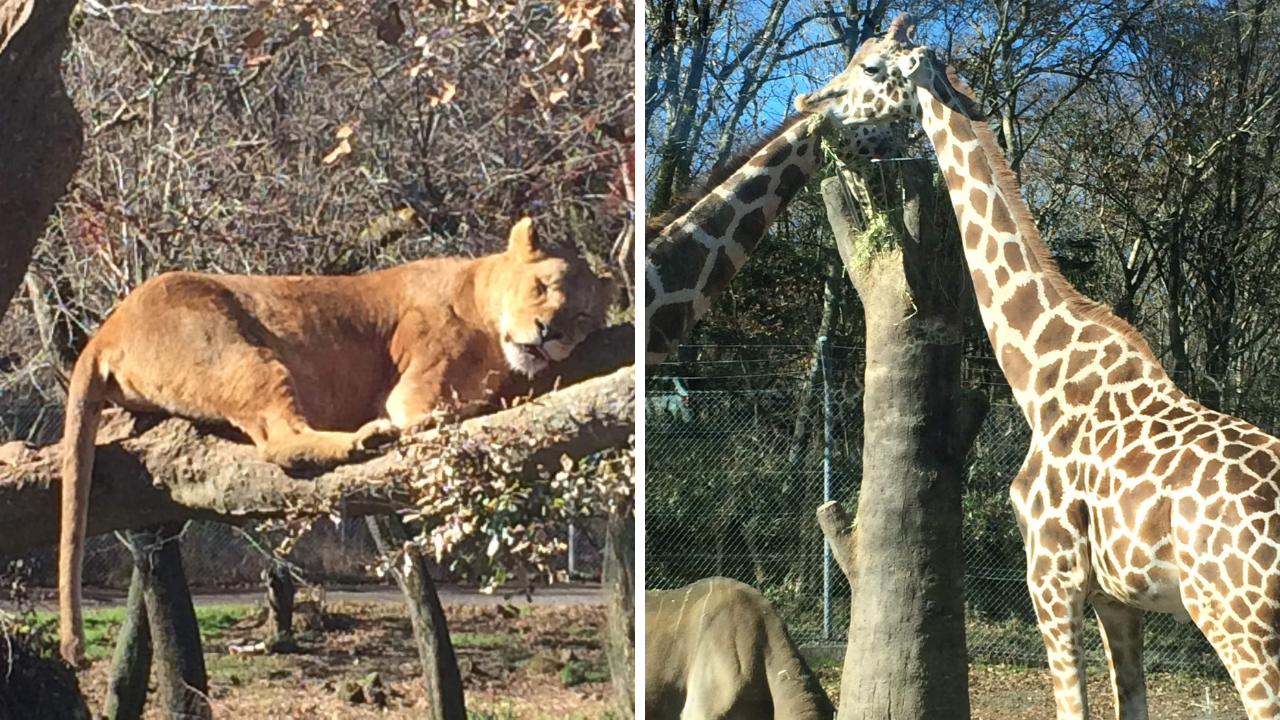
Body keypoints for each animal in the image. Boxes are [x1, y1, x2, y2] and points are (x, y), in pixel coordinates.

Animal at [798, 11, 1280, 717]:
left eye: (872, 67)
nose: (808, 102)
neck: (1041, 376)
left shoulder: (1051, 577)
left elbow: (1071, 706)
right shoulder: (1116, 597)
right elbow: (1128, 703)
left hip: (1239, 619)